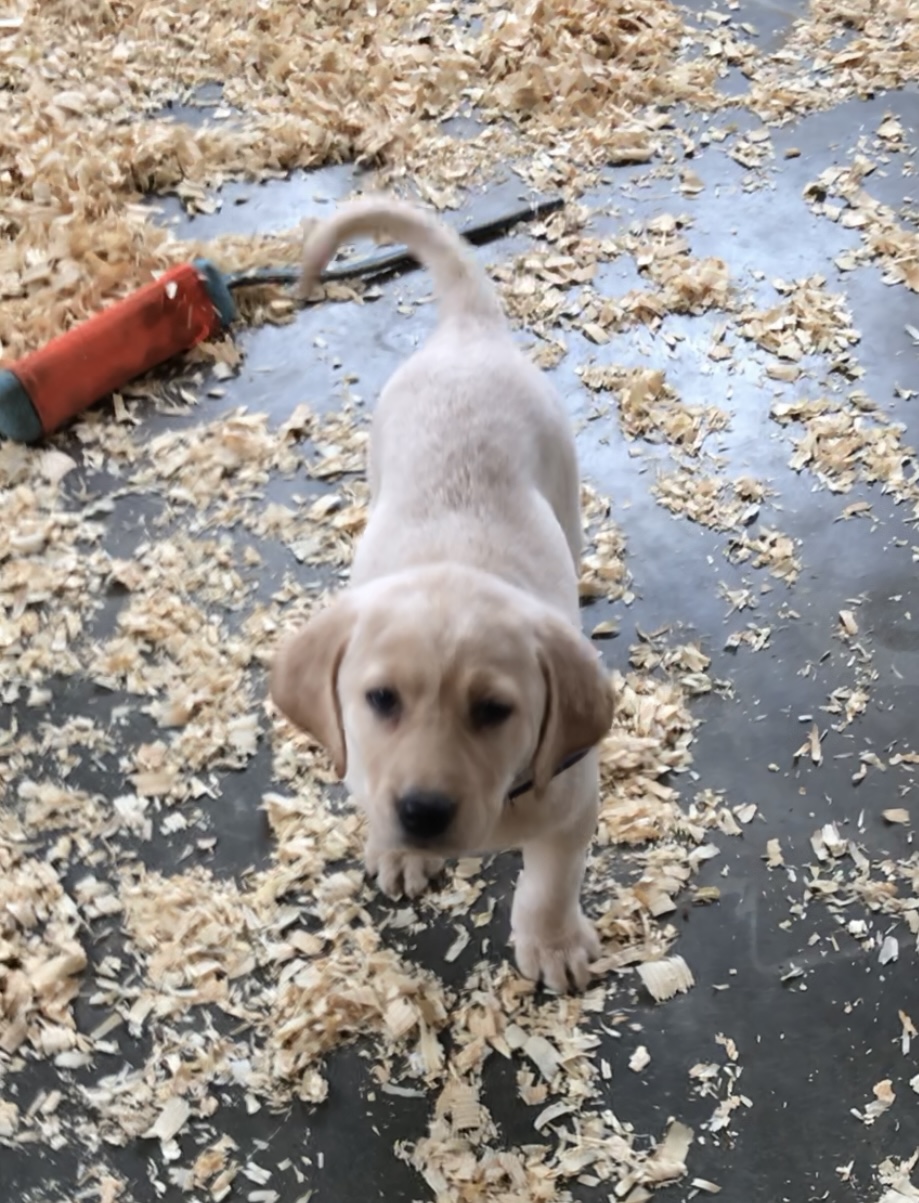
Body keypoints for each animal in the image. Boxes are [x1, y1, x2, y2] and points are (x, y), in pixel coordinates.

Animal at [273, 194, 615, 986]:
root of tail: (466, 330)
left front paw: (552, 942)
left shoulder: (572, 800)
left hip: (563, 481)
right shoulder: (365, 767)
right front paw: (397, 851)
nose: (423, 813)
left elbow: (551, 880)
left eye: (493, 711)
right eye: (380, 701)